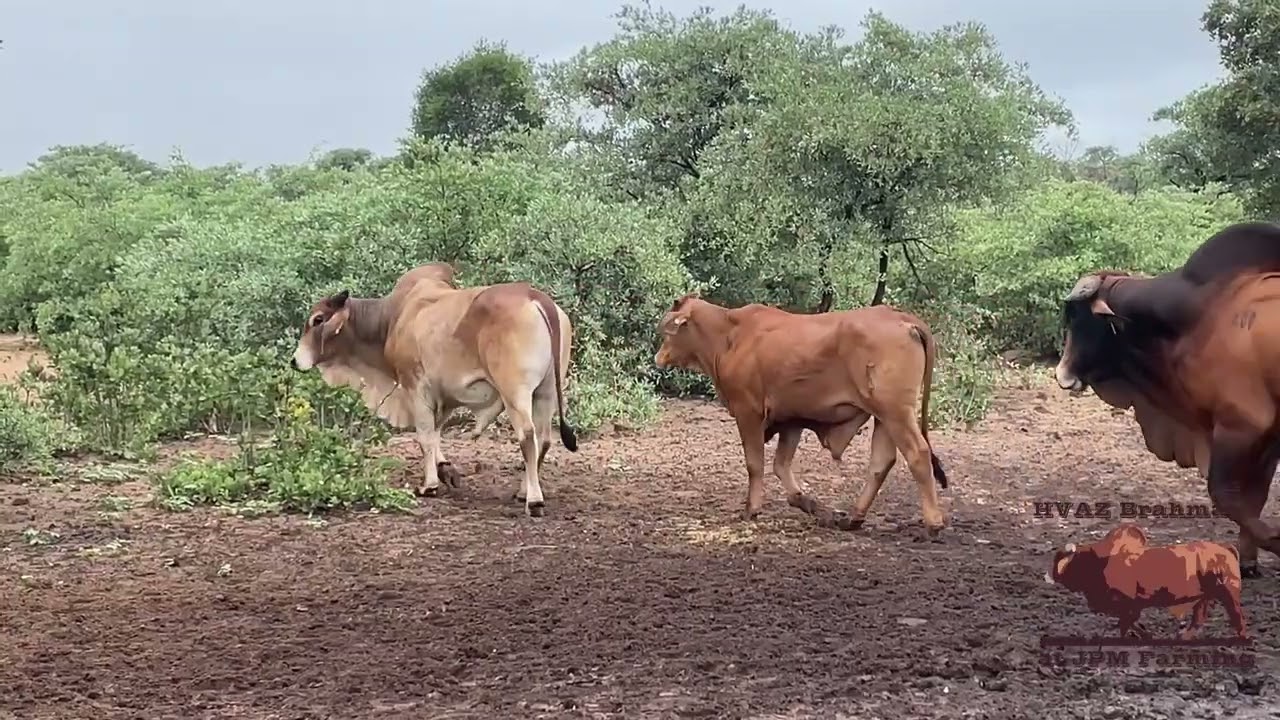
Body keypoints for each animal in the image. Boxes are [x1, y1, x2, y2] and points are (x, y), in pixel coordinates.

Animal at [290, 263, 579, 517]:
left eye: (317, 320)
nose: (294, 361)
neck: (391, 319)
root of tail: (535, 296)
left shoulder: (415, 385)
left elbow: (425, 436)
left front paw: (429, 485)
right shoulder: (443, 394)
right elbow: (436, 431)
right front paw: (444, 469)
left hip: (515, 392)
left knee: (527, 436)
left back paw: (534, 500)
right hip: (546, 392)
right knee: (544, 438)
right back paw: (523, 490)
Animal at [653, 292, 949, 538]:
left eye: (668, 331)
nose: (658, 357)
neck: (729, 336)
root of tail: (901, 317)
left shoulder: (748, 411)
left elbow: (755, 464)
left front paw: (751, 509)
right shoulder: (791, 420)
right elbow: (781, 465)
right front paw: (811, 504)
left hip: (896, 412)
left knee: (918, 454)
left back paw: (933, 523)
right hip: (884, 416)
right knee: (881, 462)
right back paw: (853, 518)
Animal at [1045, 523, 1247, 640]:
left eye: (1075, 564)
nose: (1055, 575)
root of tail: (1226, 548)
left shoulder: (1130, 605)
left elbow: (1126, 623)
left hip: (1228, 592)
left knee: (1237, 617)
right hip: (1205, 597)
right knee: (1199, 618)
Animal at [1055, 221, 1280, 578]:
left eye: (1078, 318)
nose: (1061, 374)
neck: (1199, 315)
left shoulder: (1240, 426)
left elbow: (1227, 496)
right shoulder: (1269, 438)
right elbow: (1254, 498)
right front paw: (1247, 561)